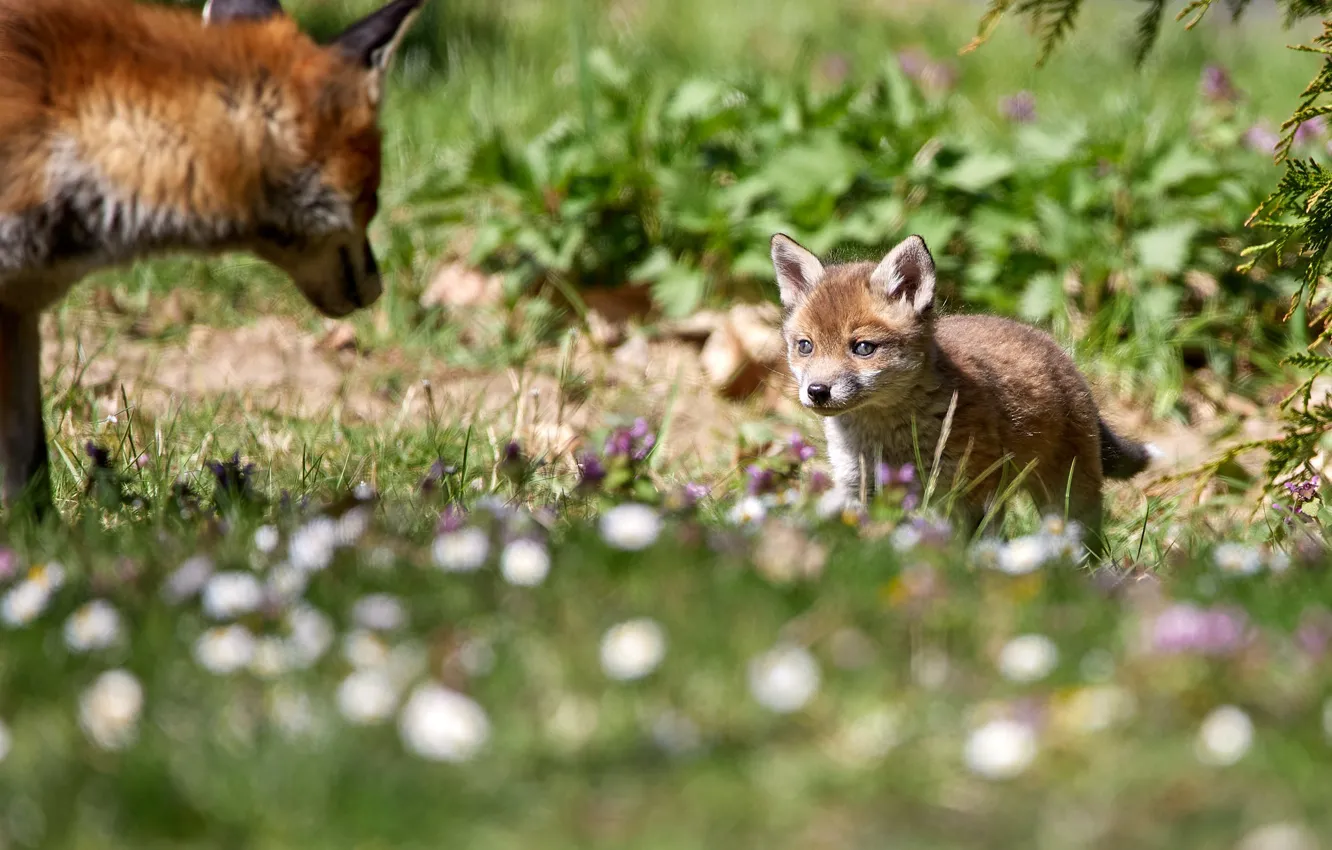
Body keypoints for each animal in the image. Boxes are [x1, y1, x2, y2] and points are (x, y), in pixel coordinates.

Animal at [770, 232, 1157, 554]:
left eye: (863, 348)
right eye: (805, 346)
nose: (817, 391)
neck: (886, 438)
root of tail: (1053, 347)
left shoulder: (972, 490)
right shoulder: (862, 488)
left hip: (1066, 493)